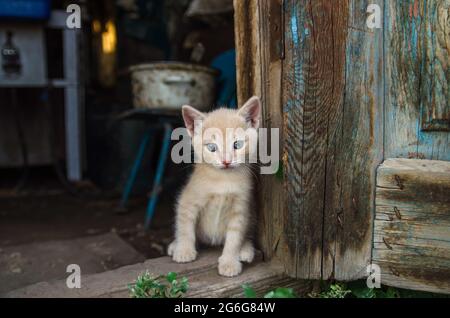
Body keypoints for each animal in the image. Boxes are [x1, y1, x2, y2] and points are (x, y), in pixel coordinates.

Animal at [168, 95, 260, 278]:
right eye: (212, 147)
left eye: (237, 145)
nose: (226, 161)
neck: (222, 179)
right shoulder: (188, 200)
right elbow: (185, 226)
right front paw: (184, 250)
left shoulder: (241, 207)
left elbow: (234, 237)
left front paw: (229, 262)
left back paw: (246, 249)